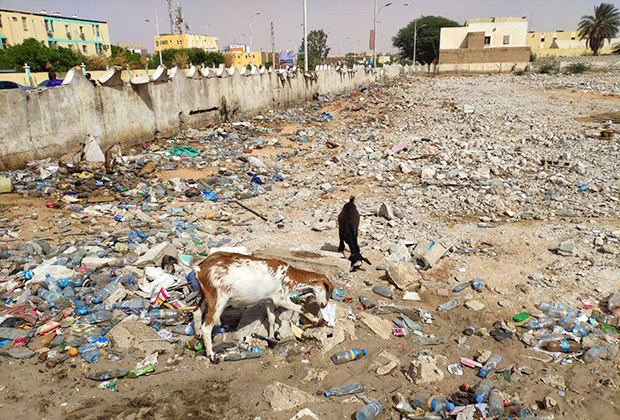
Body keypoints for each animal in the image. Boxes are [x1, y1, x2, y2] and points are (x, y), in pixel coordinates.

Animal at [193, 251, 334, 360]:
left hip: (207, 295)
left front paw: (271, 337)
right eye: (328, 291)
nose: (324, 304)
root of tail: (200, 268)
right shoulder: (281, 299)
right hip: (219, 299)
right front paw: (319, 320)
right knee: (207, 327)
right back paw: (212, 355)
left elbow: (271, 318)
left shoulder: (269, 300)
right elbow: (301, 308)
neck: (290, 276)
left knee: (196, 311)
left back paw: (198, 335)